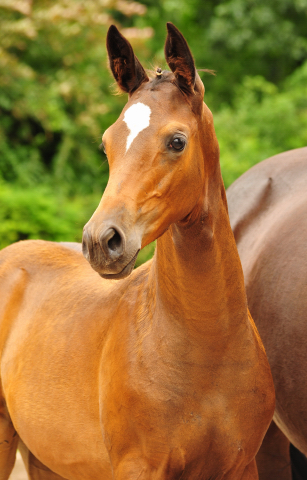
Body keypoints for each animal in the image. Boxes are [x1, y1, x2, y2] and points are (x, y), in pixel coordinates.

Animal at [0, 24, 274, 478]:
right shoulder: (139, 467)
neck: (207, 350)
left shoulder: (242, 466)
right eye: (106, 144)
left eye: (177, 141)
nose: (100, 241)